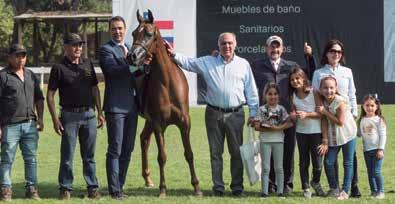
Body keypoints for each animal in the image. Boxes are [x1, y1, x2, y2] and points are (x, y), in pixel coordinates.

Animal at [131, 9, 204, 198]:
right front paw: (163, 189)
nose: (132, 56)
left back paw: (147, 179)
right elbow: (162, 156)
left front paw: (197, 187)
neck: (168, 82)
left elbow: (189, 154)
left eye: (149, 34)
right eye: (134, 33)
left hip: (149, 121)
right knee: (145, 140)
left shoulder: (185, 122)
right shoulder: (158, 123)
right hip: (151, 121)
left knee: (144, 139)